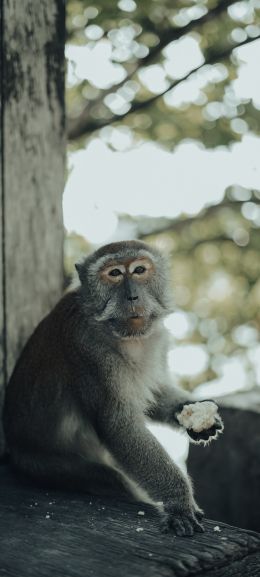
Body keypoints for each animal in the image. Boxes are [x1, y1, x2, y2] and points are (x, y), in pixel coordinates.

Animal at [2, 238, 223, 536]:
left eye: (139, 270)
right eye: (115, 274)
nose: (132, 297)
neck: (125, 336)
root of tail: (16, 452)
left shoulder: (156, 339)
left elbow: (155, 393)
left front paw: (194, 415)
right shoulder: (88, 350)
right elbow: (118, 426)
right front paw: (179, 501)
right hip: (44, 467)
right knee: (111, 478)